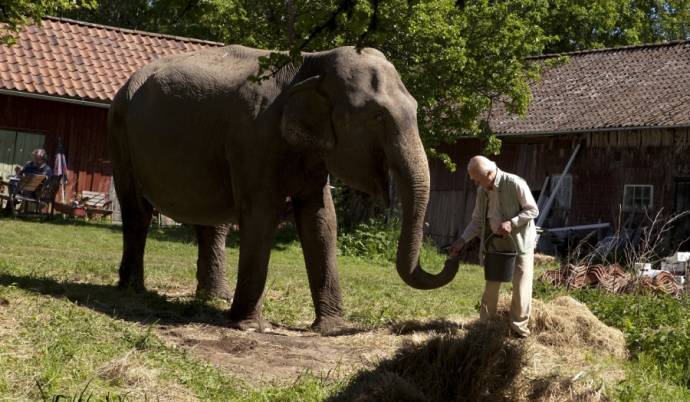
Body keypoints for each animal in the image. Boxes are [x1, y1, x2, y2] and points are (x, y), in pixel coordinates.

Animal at [107, 44, 460, 332]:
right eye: (376, 116)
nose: (451, 254)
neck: (313, 61)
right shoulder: (254, 136)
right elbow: (261, 213)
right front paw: (249, 326)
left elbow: (321, 218)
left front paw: (331, 328)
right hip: (120, 131)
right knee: (137, 211)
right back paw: (133, 289)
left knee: (210, 220)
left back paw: (215, 298)